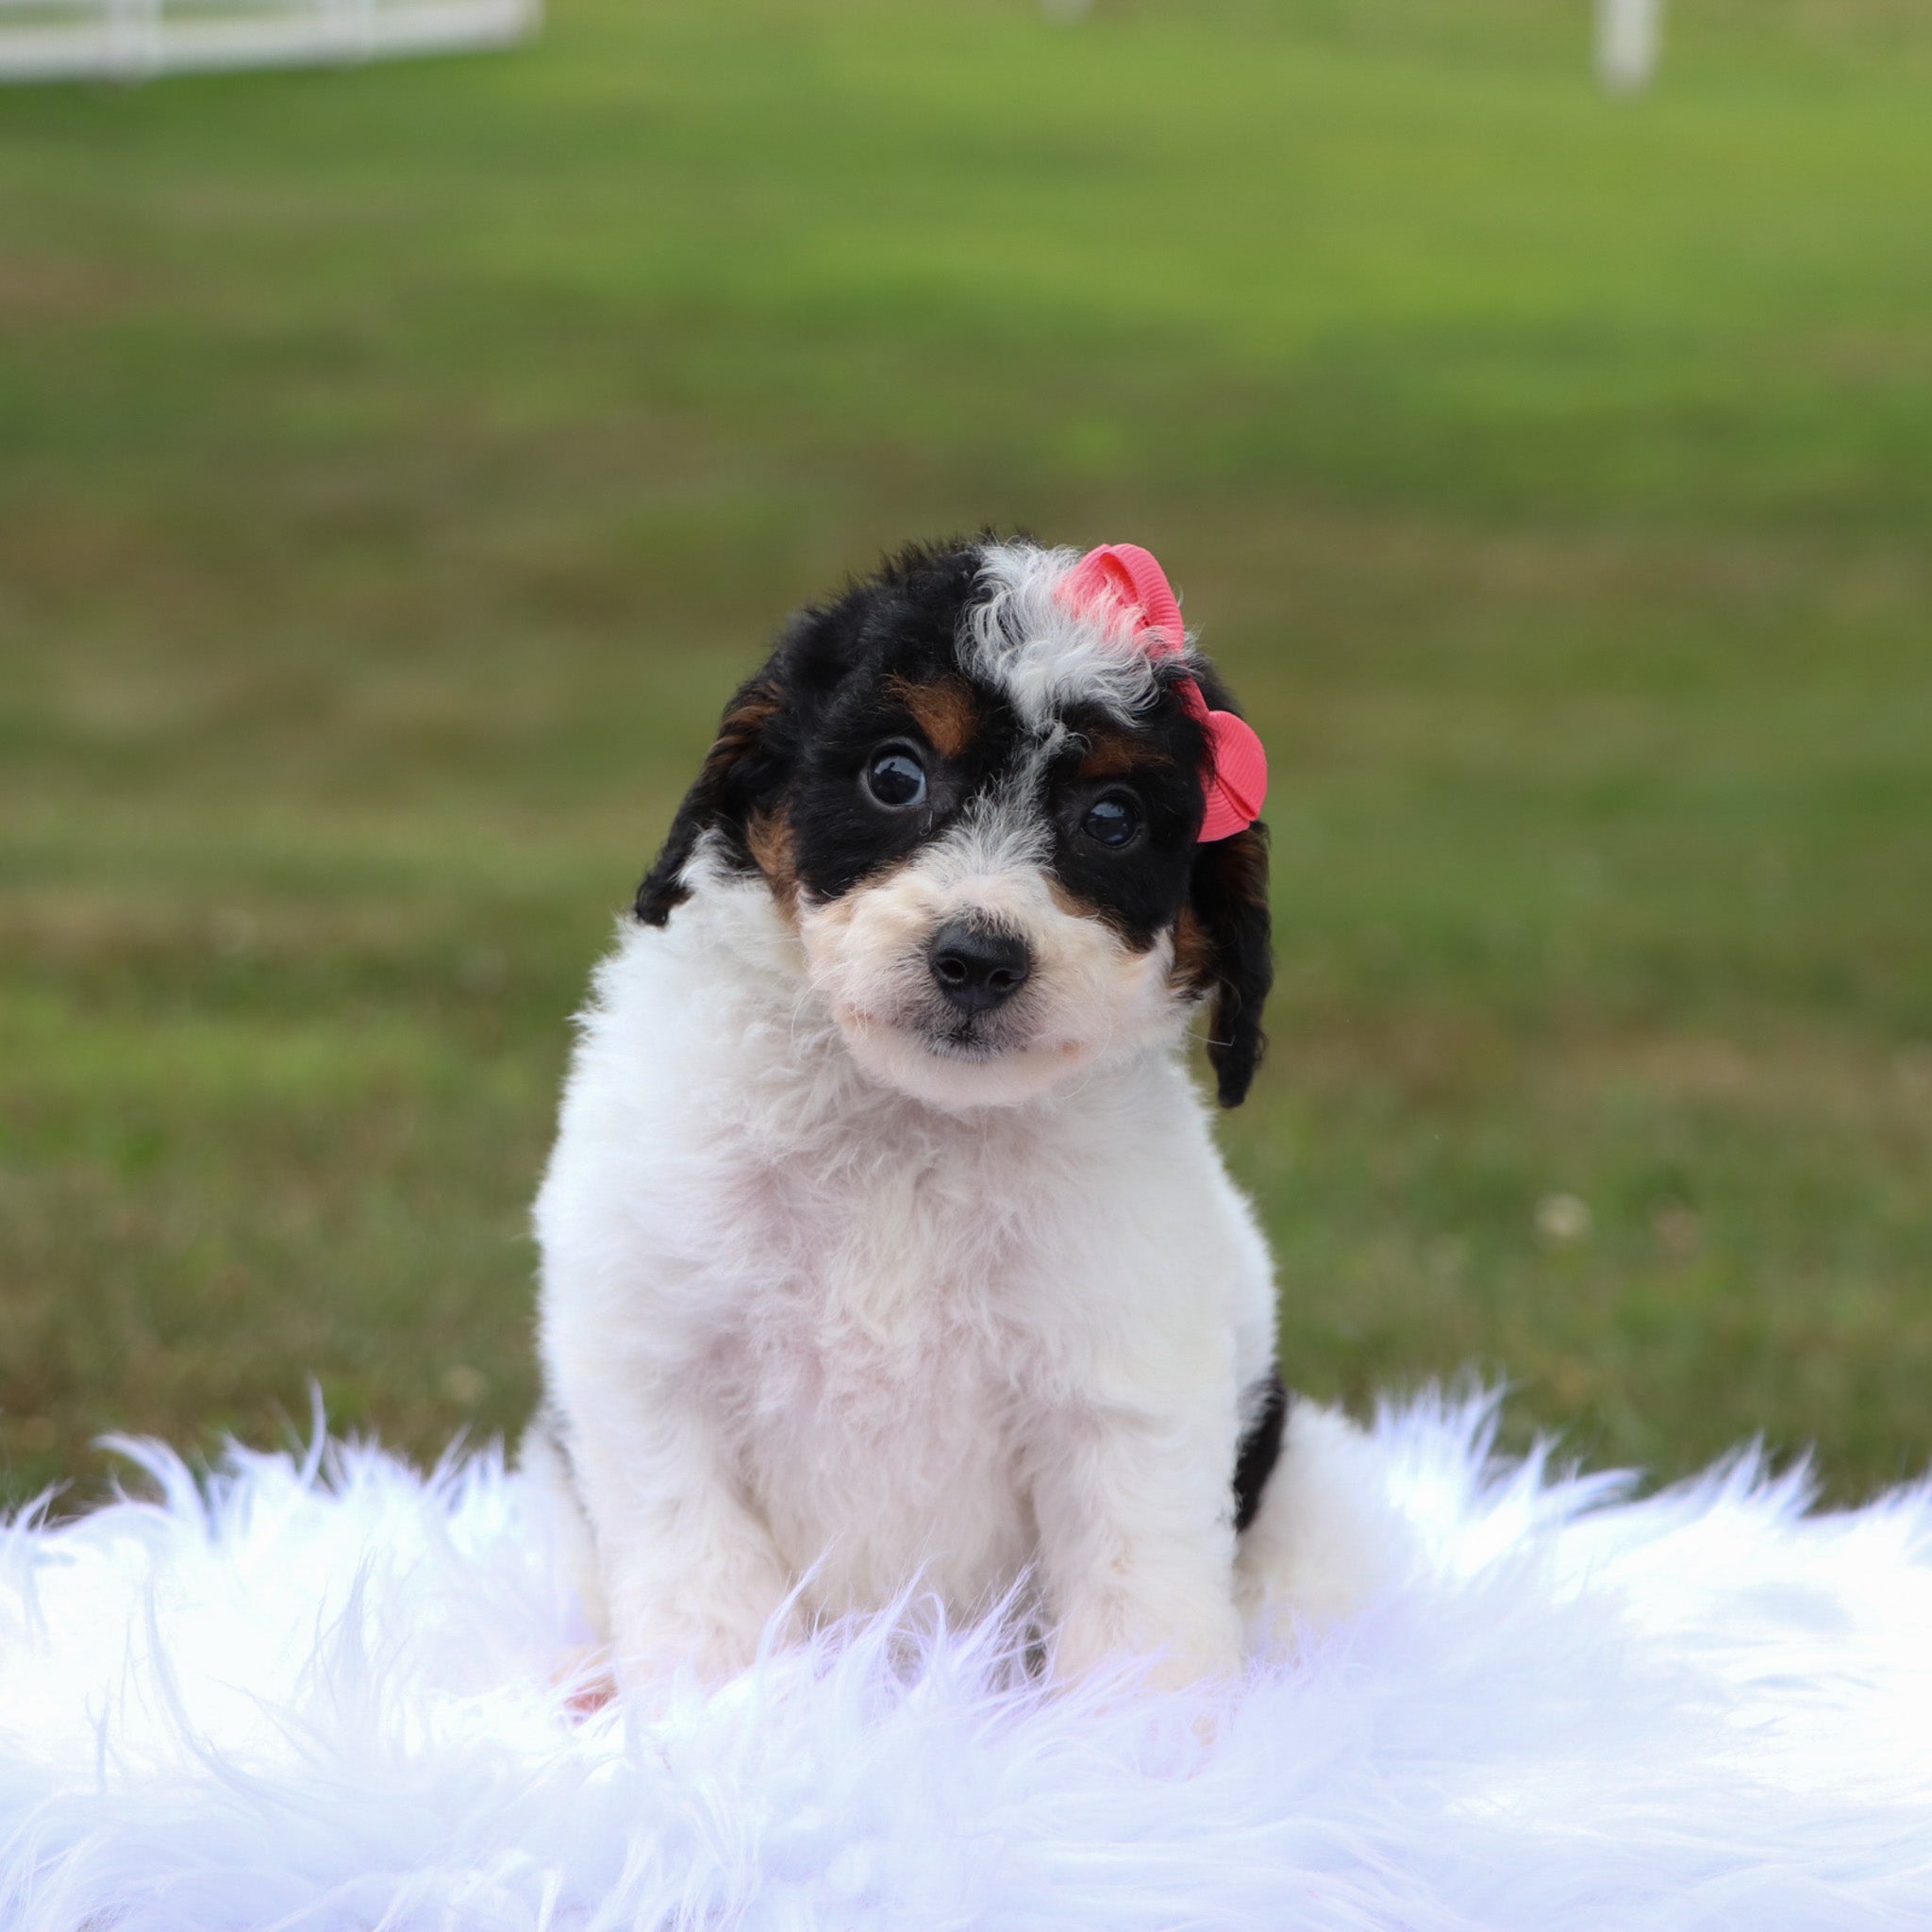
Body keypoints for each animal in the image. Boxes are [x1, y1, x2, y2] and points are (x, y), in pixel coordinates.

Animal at [521, 537, 1383, 1700]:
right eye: (895, 775)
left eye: (1111, 819)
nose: (976, 959)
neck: (907, 1121)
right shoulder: (650, 1360)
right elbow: (701, 1574)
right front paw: (727, 1713)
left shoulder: (1122, 1390)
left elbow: (1138, 1598)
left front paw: (1153, 1742)